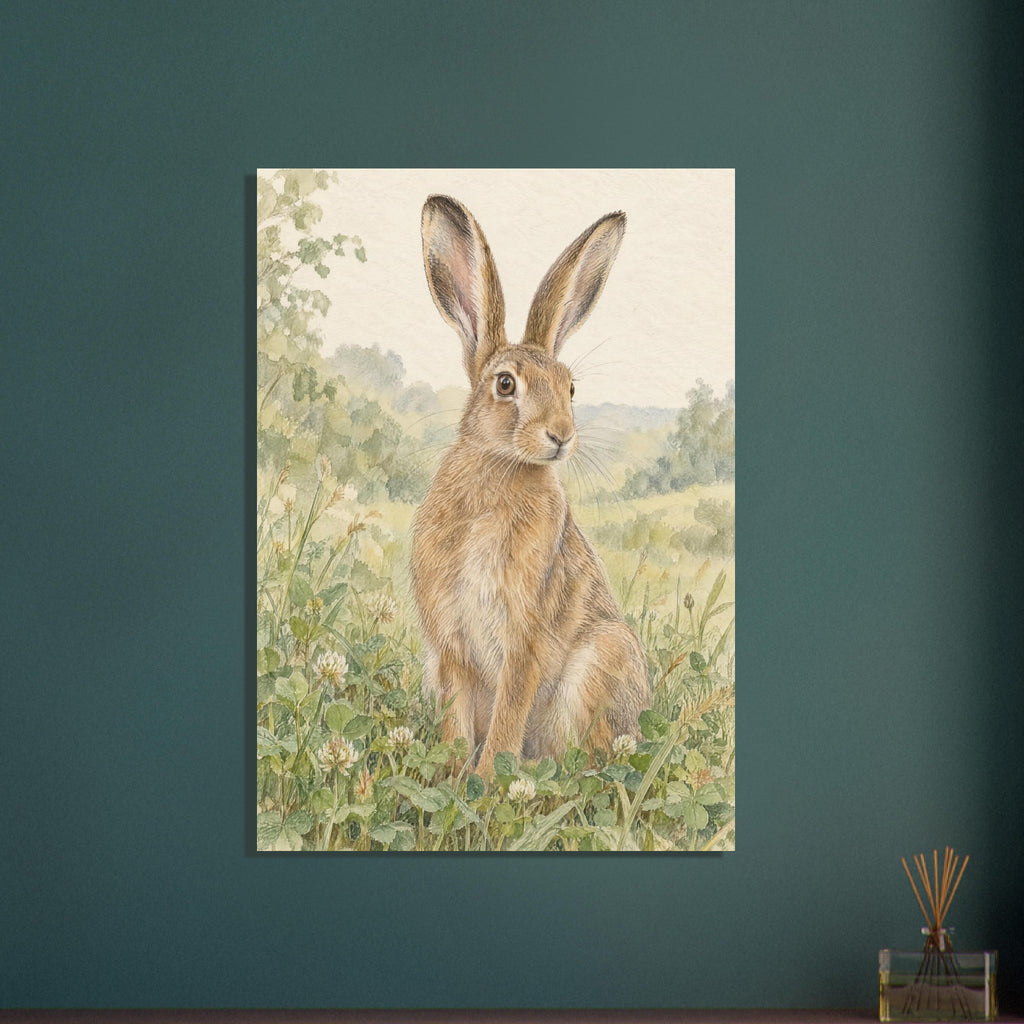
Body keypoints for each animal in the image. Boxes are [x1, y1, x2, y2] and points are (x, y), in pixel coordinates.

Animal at [411, 195, 649, 777]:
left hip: (603, 658)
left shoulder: (526, 642)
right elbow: (457, 722)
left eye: (570, 387)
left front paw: (485, 780)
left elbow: (507, 720)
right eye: (505, 384)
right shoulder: (451, 650)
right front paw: (455, 777)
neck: (499, 470)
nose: (561, 435)